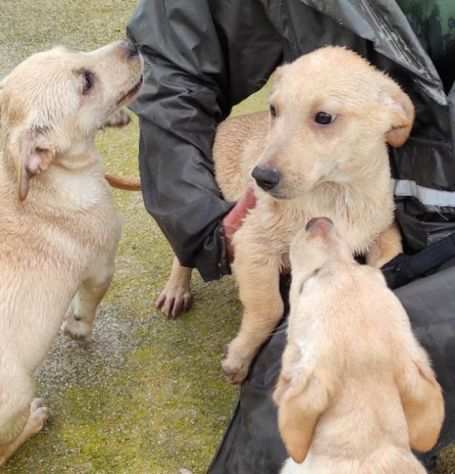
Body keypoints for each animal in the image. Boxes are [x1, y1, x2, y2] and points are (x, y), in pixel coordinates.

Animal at [0, 39, 143, 462]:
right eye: (86, 83)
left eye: (68, 50)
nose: (132, 42)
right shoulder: (101, 268)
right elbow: (87, 307)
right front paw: (78, 329)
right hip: (19, 389)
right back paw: (33, 421)